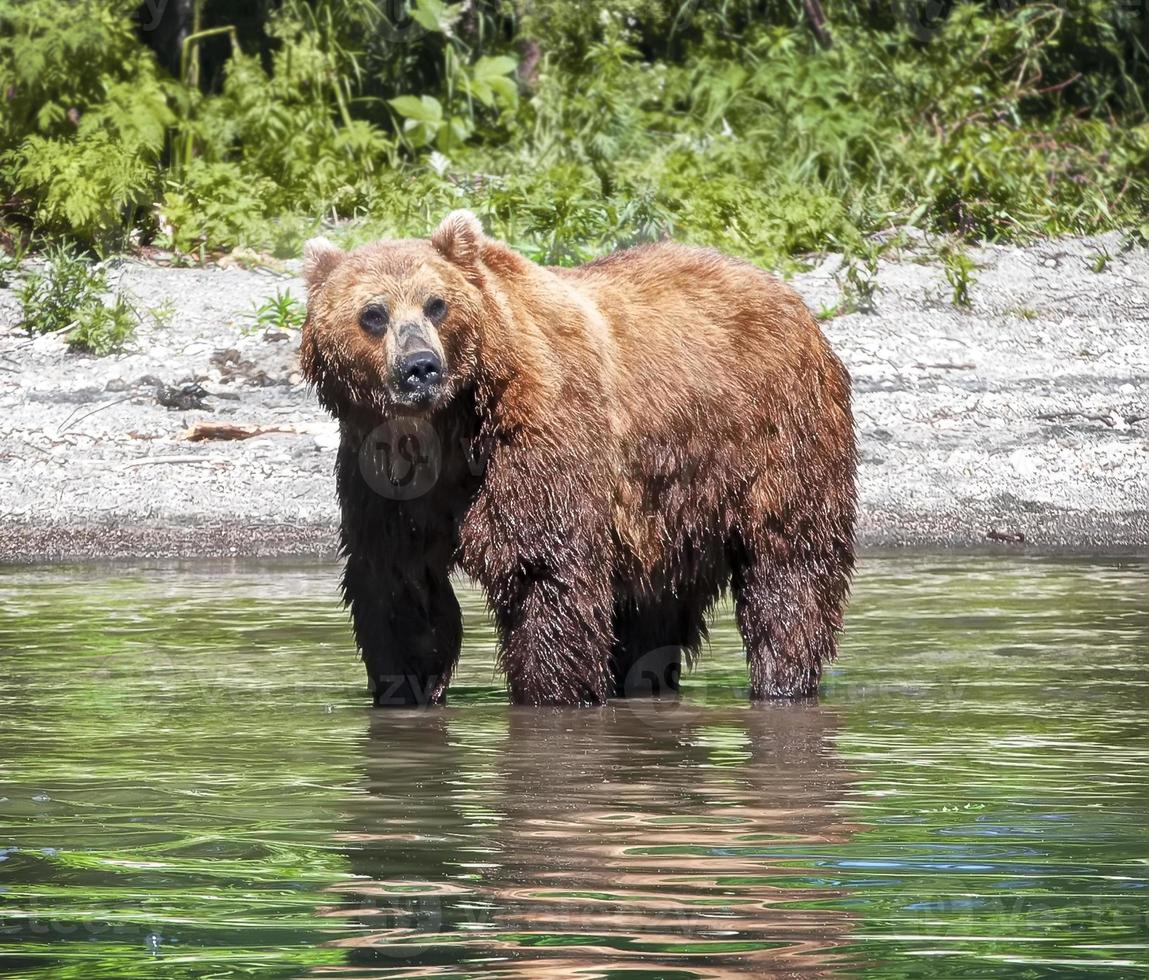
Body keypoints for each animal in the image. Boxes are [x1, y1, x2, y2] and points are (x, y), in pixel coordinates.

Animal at [301, 212, 859, 703]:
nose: (421, 367)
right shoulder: (383, 476)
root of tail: (788, 294)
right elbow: (401, 586)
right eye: (373, 314)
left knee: (789, 569)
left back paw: (782, 679)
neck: (447, 427)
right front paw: (404, 686)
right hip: (667, 512)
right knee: (652, 608)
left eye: (436, 304)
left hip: (776, 437)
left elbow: (544, 571)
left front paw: (550, 692)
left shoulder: (540, 434)